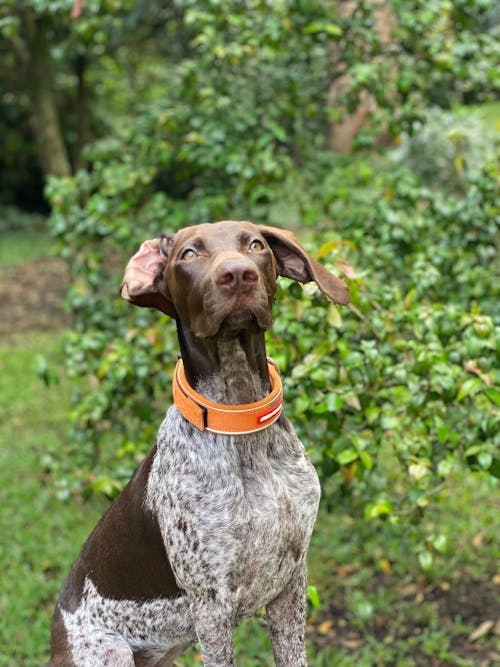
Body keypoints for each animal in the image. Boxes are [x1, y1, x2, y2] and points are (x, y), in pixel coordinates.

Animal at [48, 222, 350, 664]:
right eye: (189, 254)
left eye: (255, 245)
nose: (238, 274)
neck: (239, 419)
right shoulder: (212, 605)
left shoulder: (290, 583)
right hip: (109, 653)